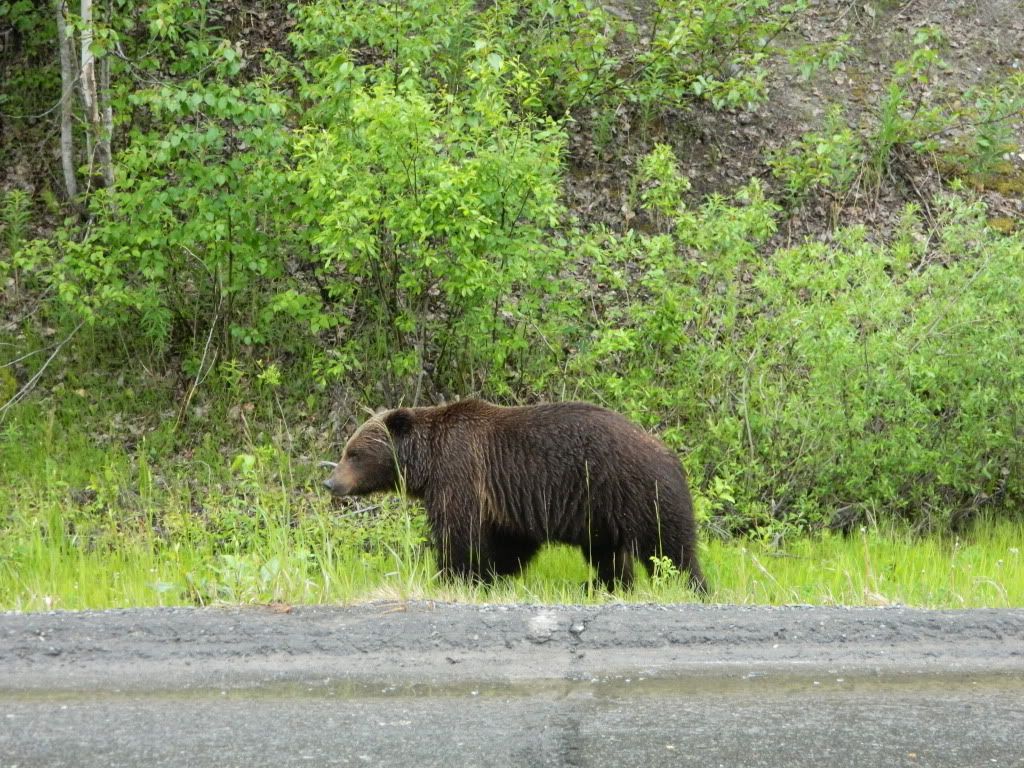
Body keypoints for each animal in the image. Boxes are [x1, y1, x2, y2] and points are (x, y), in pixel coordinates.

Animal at [322, 399, 707, 594]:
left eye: (353, 453)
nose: (330, 482)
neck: (426, 463)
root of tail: (673, 457)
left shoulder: (461, 472)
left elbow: (459, 534)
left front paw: (452, 577)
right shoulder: (507, 499)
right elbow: (509, 541)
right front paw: (492, 576)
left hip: (634, 491)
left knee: (669, 547)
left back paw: (690, 586)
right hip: (600, 512)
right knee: (608, 554)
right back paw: (600, 586)